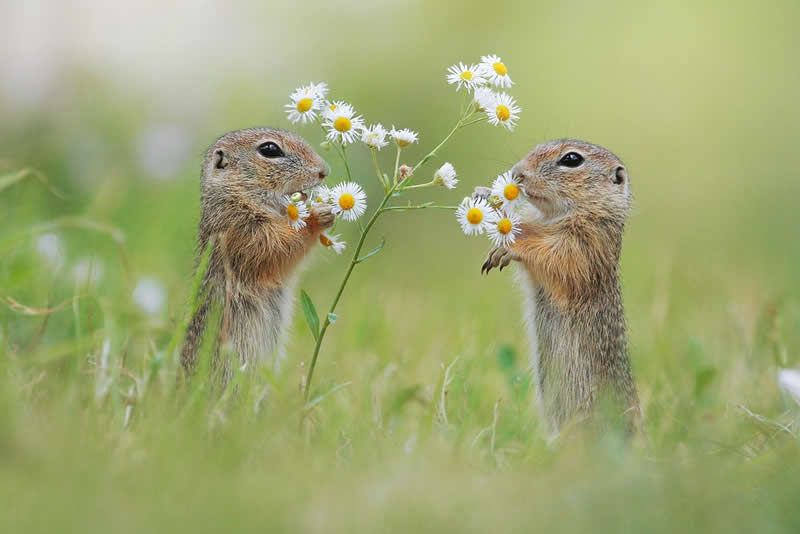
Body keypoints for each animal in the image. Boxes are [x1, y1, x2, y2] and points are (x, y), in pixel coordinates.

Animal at [181, 127, 332, 379]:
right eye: (269, 149)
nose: (323, 171)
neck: (236, 195)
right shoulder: (241, 230)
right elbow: (277, 247)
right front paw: (318, 216)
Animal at [477, 139, 641, 437]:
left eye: (572, 159)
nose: (518, 173)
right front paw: (485, 196)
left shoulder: (582, 246)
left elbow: (548, 253)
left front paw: (505, 225)